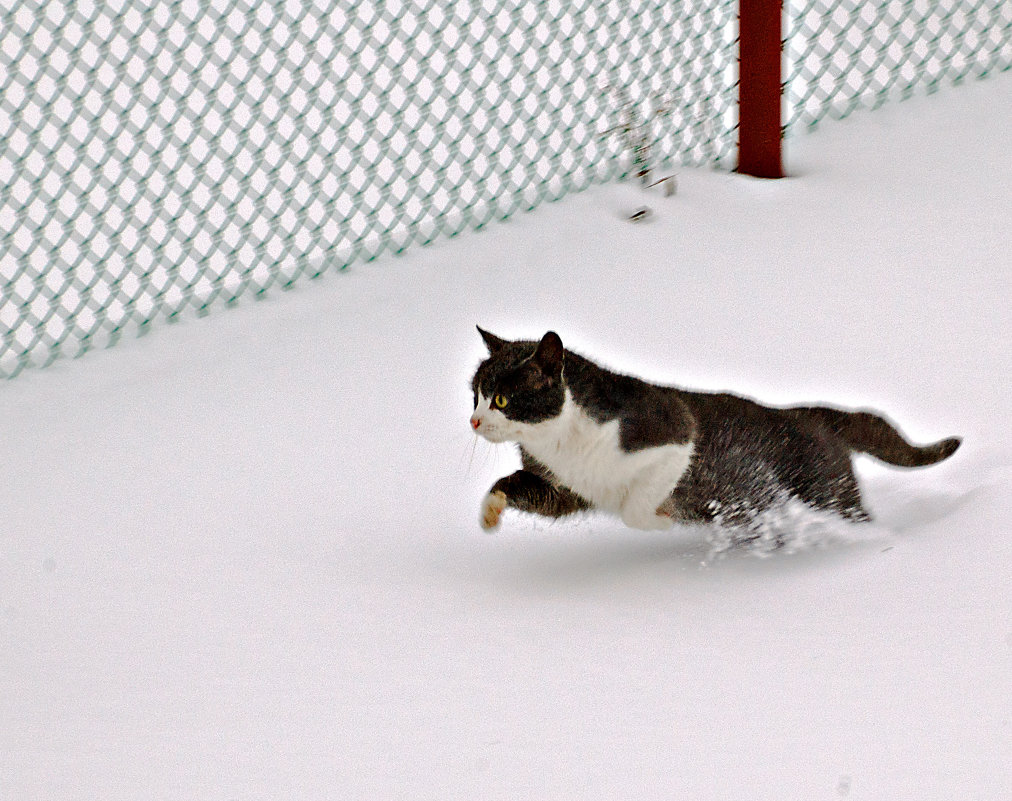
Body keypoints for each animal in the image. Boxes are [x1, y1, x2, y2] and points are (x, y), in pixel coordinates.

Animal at [469, 327, 959, 534]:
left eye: (503, 400)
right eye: (475, 393)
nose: (473, 421)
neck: (558, 444)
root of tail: (811, 414)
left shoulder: (674, 431)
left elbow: (635, 508)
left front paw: (662, 521)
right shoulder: (564, 488)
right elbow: (513, 487)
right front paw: (489, 514)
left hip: (824, 487)